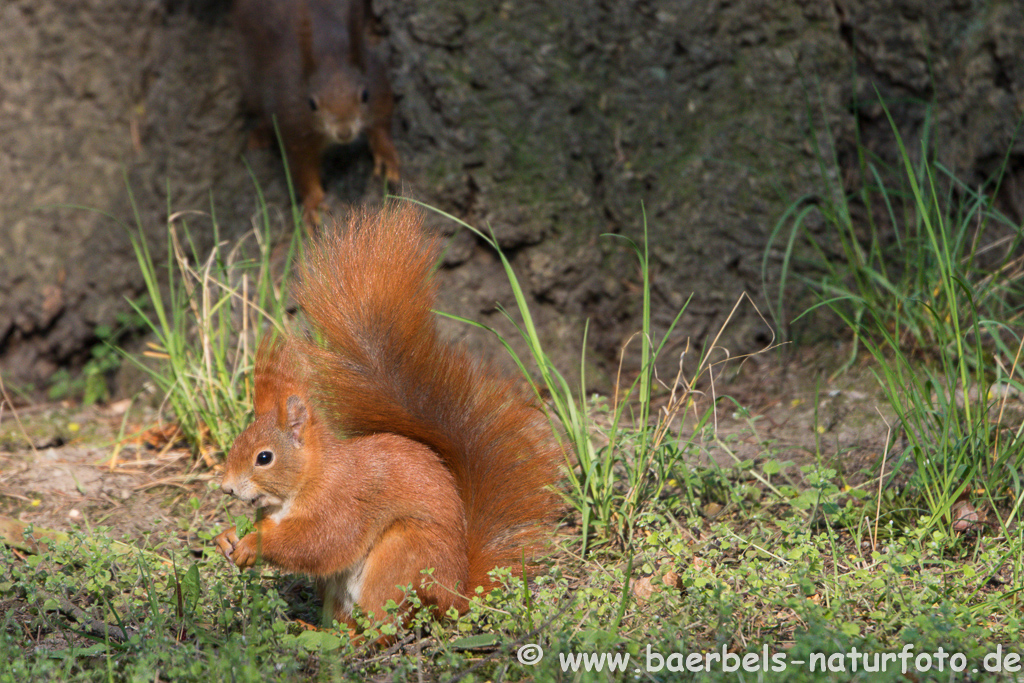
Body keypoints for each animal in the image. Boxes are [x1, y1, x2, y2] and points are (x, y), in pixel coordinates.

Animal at [214, 204, 561, 630]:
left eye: (264, 457)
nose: (226, 488)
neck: (308, 480)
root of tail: (456, 594)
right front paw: (228, 536)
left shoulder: (343, 505)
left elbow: (319, 543)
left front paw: (252, 543)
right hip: (342, 589)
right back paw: (311, 628)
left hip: (400, 556)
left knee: (383, 626)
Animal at [234, 0, 401, 219]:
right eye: (312, 104)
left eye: (365, 95)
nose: (344, 132)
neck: (328, 53)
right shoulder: (293, 123)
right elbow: (302, 168)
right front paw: (314, 204)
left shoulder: (377, 81)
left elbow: (382, 119)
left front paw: (386, 154)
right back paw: (260, 134)